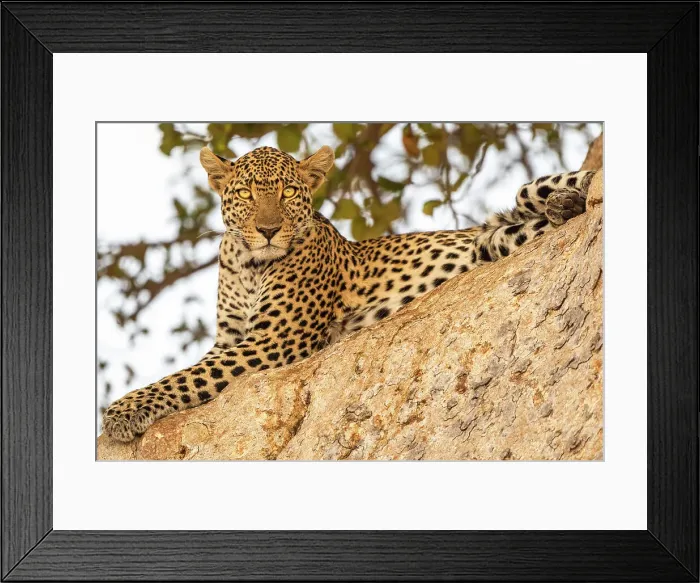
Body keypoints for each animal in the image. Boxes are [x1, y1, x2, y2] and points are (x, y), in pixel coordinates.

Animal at [102, 144, 595, 442]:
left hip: (527, 192)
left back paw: (572, 198)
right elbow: (189, 373)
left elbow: (182, 378)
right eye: (244, 193)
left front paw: (121, 412)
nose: (267, 230)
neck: (248, 266)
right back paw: (561, 208)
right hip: (496, 239)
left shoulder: (272, 341)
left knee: (565, 184)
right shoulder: (229, 338)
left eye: (288, 192)